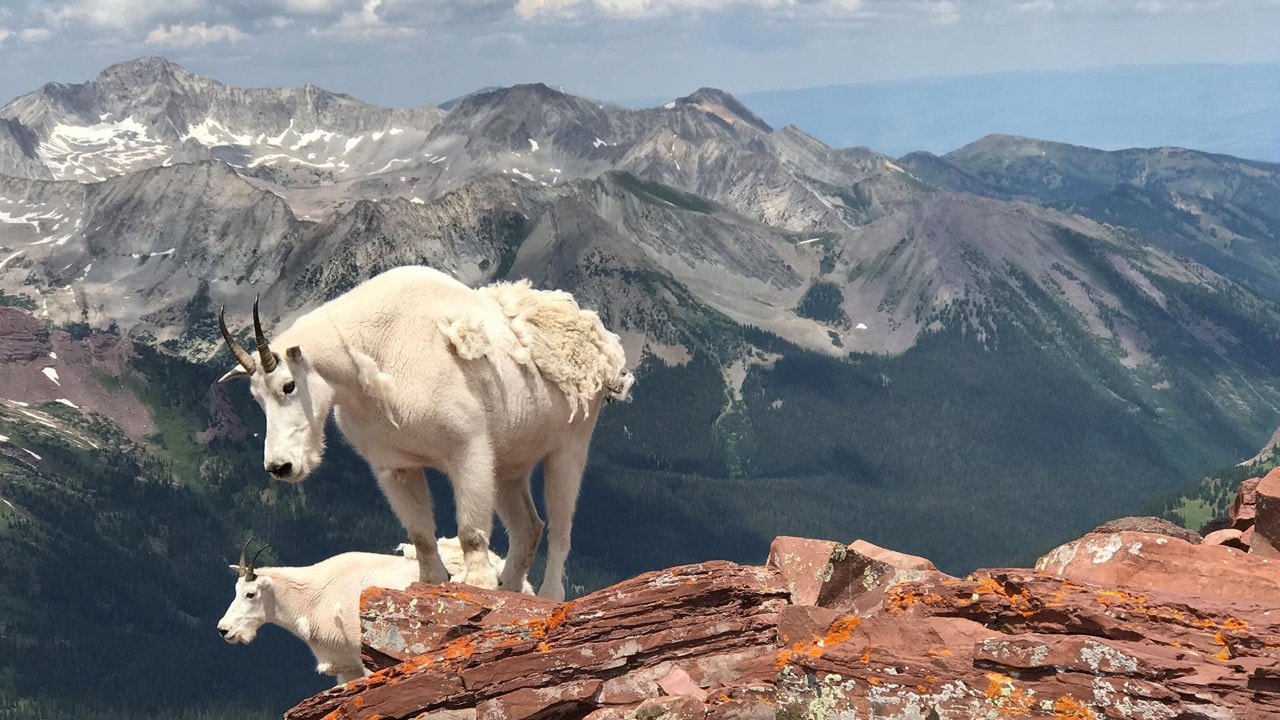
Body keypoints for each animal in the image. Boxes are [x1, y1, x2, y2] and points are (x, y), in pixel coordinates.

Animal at [222, 266, 637, 597]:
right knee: (528, 527)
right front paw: (434, 586)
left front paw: (477, 588)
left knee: (560, 531)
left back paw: (548, 595)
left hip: (569, 447)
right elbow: (421, 536)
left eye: (289, 385)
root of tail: (602, 346)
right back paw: (512, 587)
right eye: (256, 398)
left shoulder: (469, 450)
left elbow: (471, 534)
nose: (280, 467)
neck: (371, 354)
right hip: (509, 465)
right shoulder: (395, 466)